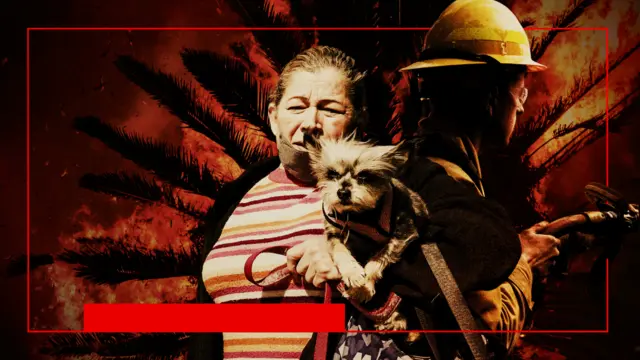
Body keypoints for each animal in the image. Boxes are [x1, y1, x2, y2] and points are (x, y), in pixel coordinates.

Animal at [306, 134, 428, 336]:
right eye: (333, 174)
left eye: (363, 176)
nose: (343, 192)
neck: (360, 216)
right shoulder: (334, 234)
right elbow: (340, 252)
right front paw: (352, 272)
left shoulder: (404, 233)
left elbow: (377, 259)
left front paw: (362, 289)